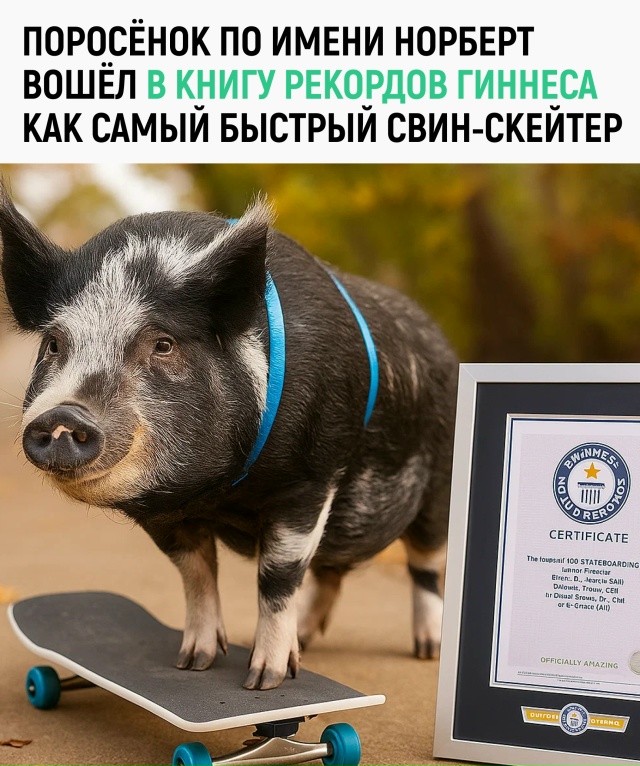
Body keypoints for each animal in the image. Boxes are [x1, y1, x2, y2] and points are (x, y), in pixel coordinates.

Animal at [0, 185, 458, 690]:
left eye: (163, 344)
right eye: (54, 343)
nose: (62, 414)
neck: (218, 490)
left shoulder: (310, 478)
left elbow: (277, 577)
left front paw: (264, 681)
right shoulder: (167, 513)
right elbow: (196, 573)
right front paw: (193, 662)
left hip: (440, 486)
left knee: (424, 564)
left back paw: (427, 650)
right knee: (331, 571)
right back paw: (308, 638)